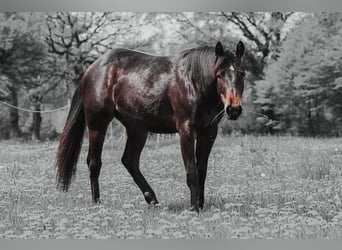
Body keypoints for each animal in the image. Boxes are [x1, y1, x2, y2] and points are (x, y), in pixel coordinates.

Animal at [55, 40, 243, 212]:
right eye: (219, 75)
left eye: (242, 73)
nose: (234, 109)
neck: (193, 82)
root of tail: (90, 71)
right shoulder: (186, 130)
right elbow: (192, 172)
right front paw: (193, 208)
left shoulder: (209, 132)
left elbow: (202, 171)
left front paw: (201, 205)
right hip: (97, 125)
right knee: (94, 162)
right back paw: (97, 203)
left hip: (137, 129)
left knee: (129, 161)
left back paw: (153, 200)